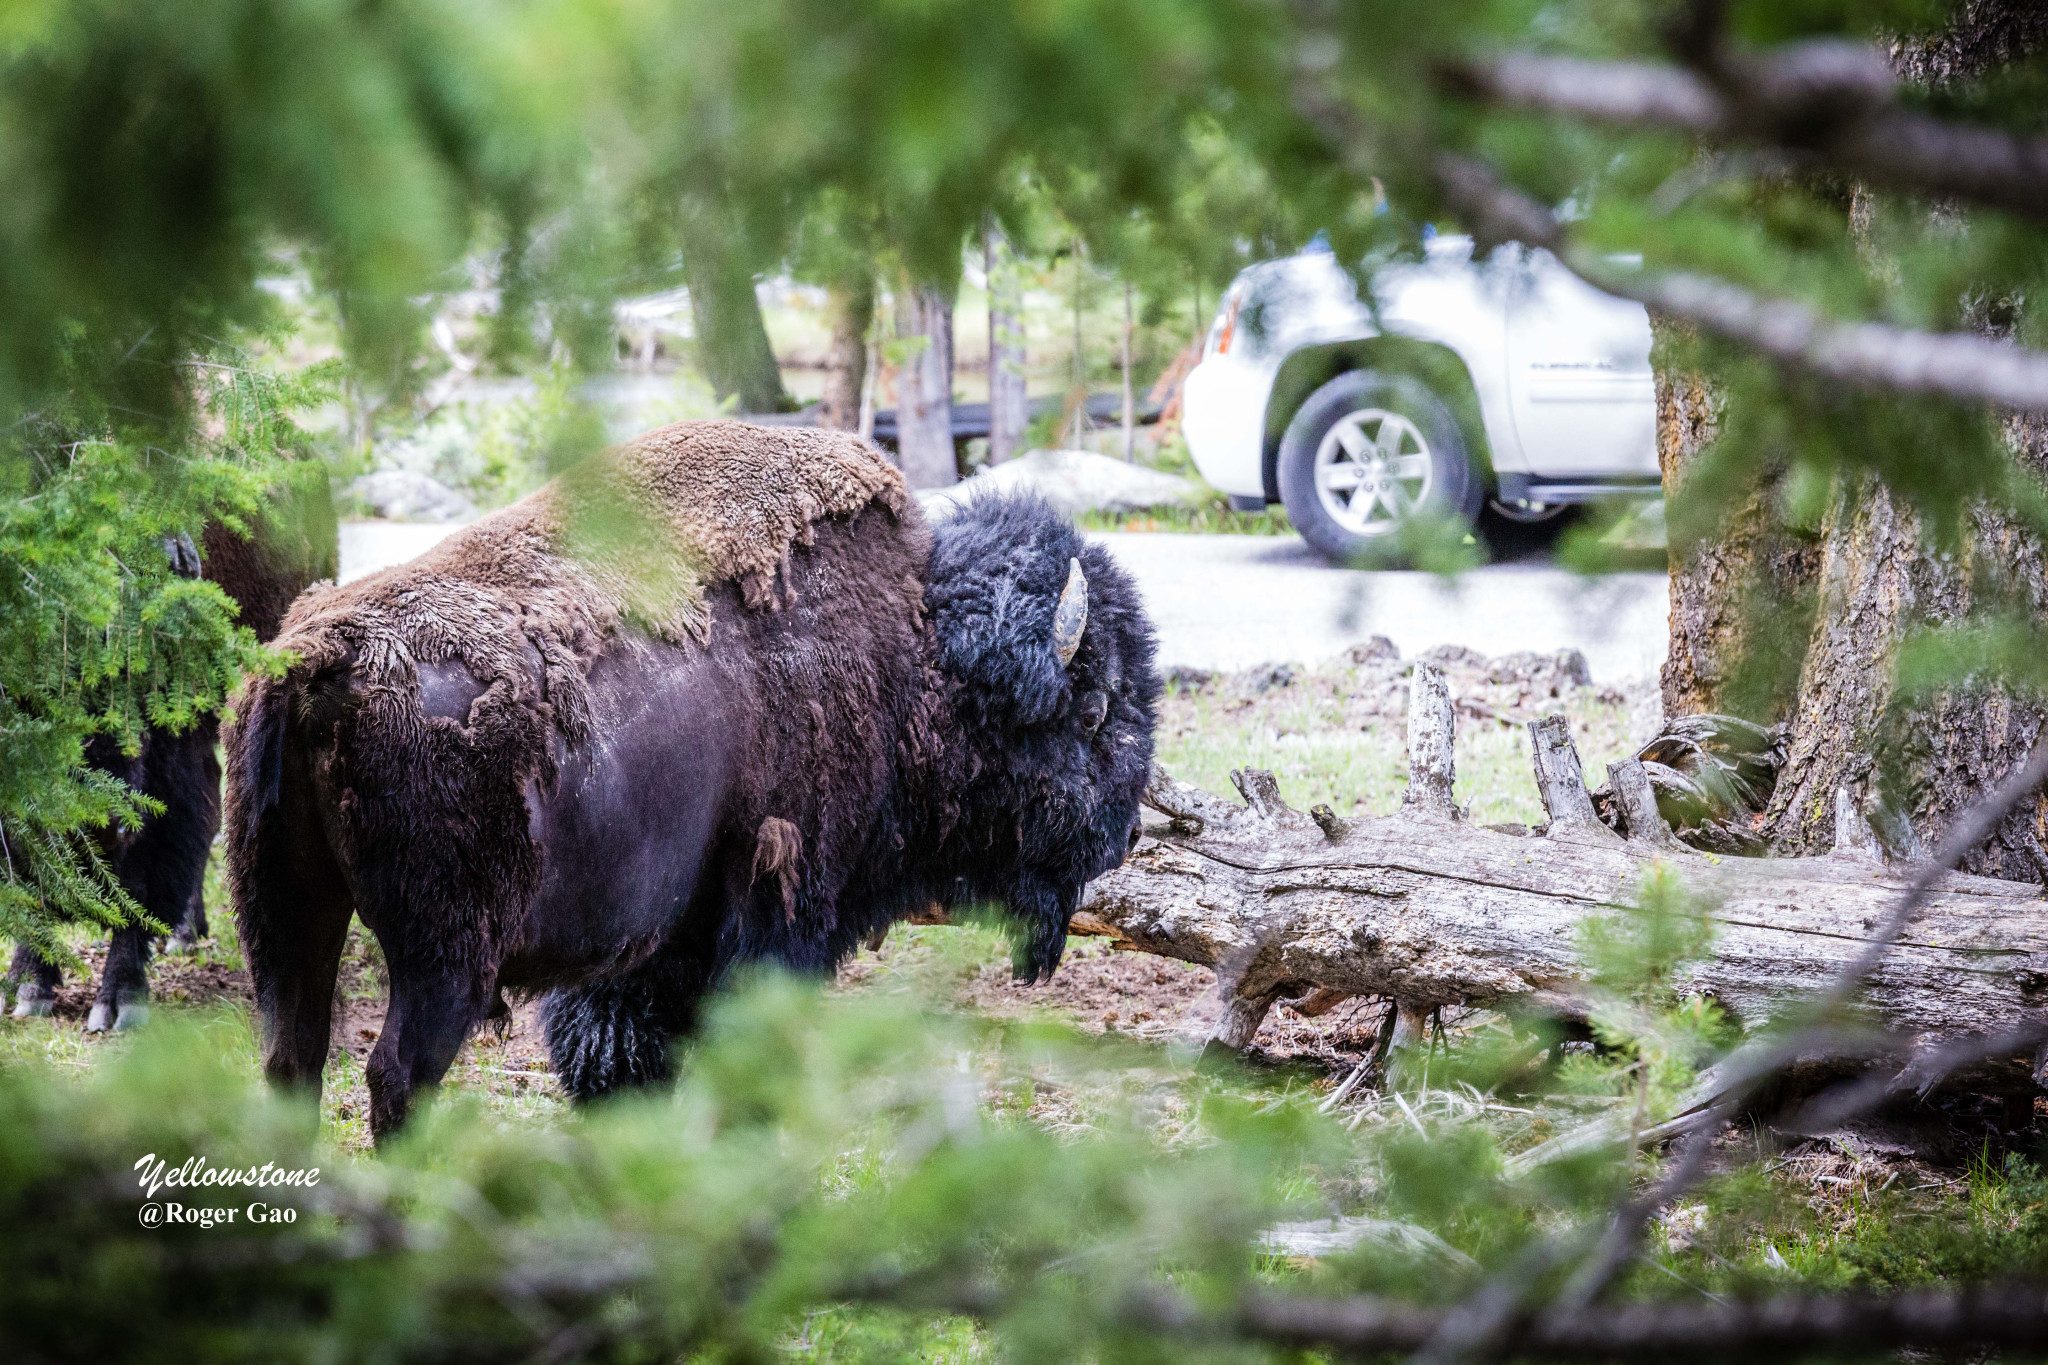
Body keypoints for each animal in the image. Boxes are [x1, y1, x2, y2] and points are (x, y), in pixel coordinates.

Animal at [228, 421, 1155, 1137]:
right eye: (1096, 709)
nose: (1132, 832)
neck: (914, 648)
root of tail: (319, 657)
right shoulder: (772, 916)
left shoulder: (650, 943)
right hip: (444, 958)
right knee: (394, 1074)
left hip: (286, 915)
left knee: (290, 1058)